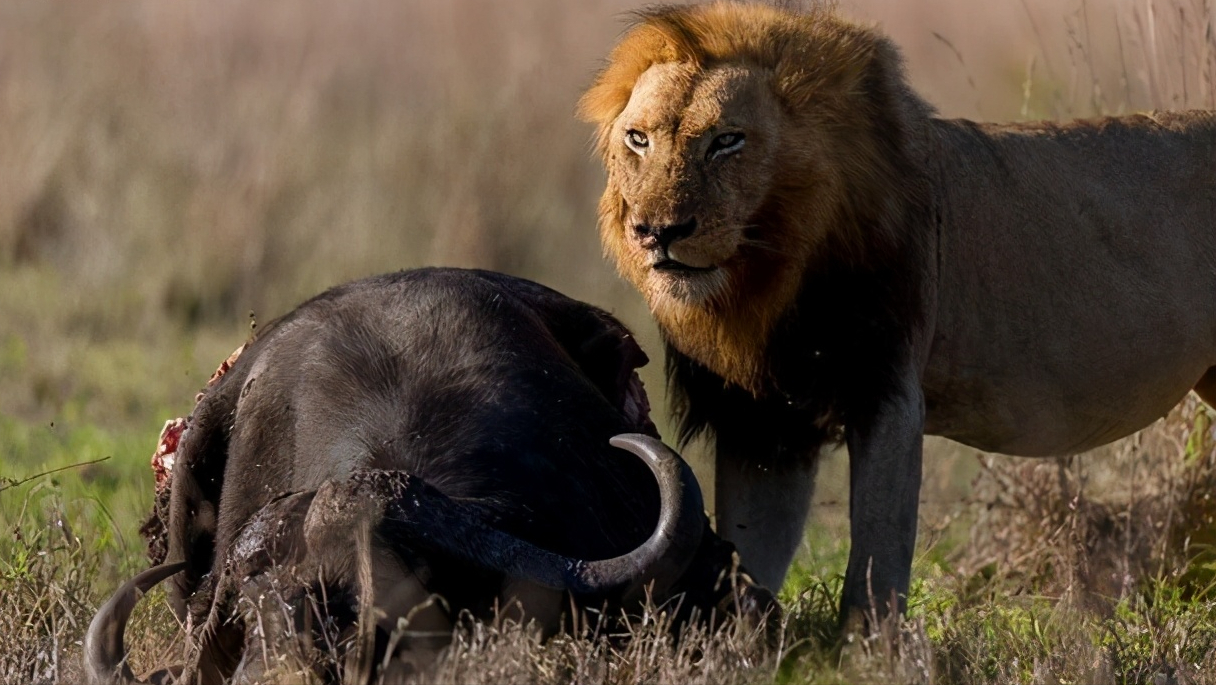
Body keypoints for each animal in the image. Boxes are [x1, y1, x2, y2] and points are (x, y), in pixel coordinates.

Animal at [576, 1, 1216, 622]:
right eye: (638, 139)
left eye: (726, 141)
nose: (657, 232)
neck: (765, 277)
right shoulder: (764, 420)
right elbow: (751, 549)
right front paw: (743, 635)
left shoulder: (886, 392)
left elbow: (876, 553)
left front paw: (866, 645)